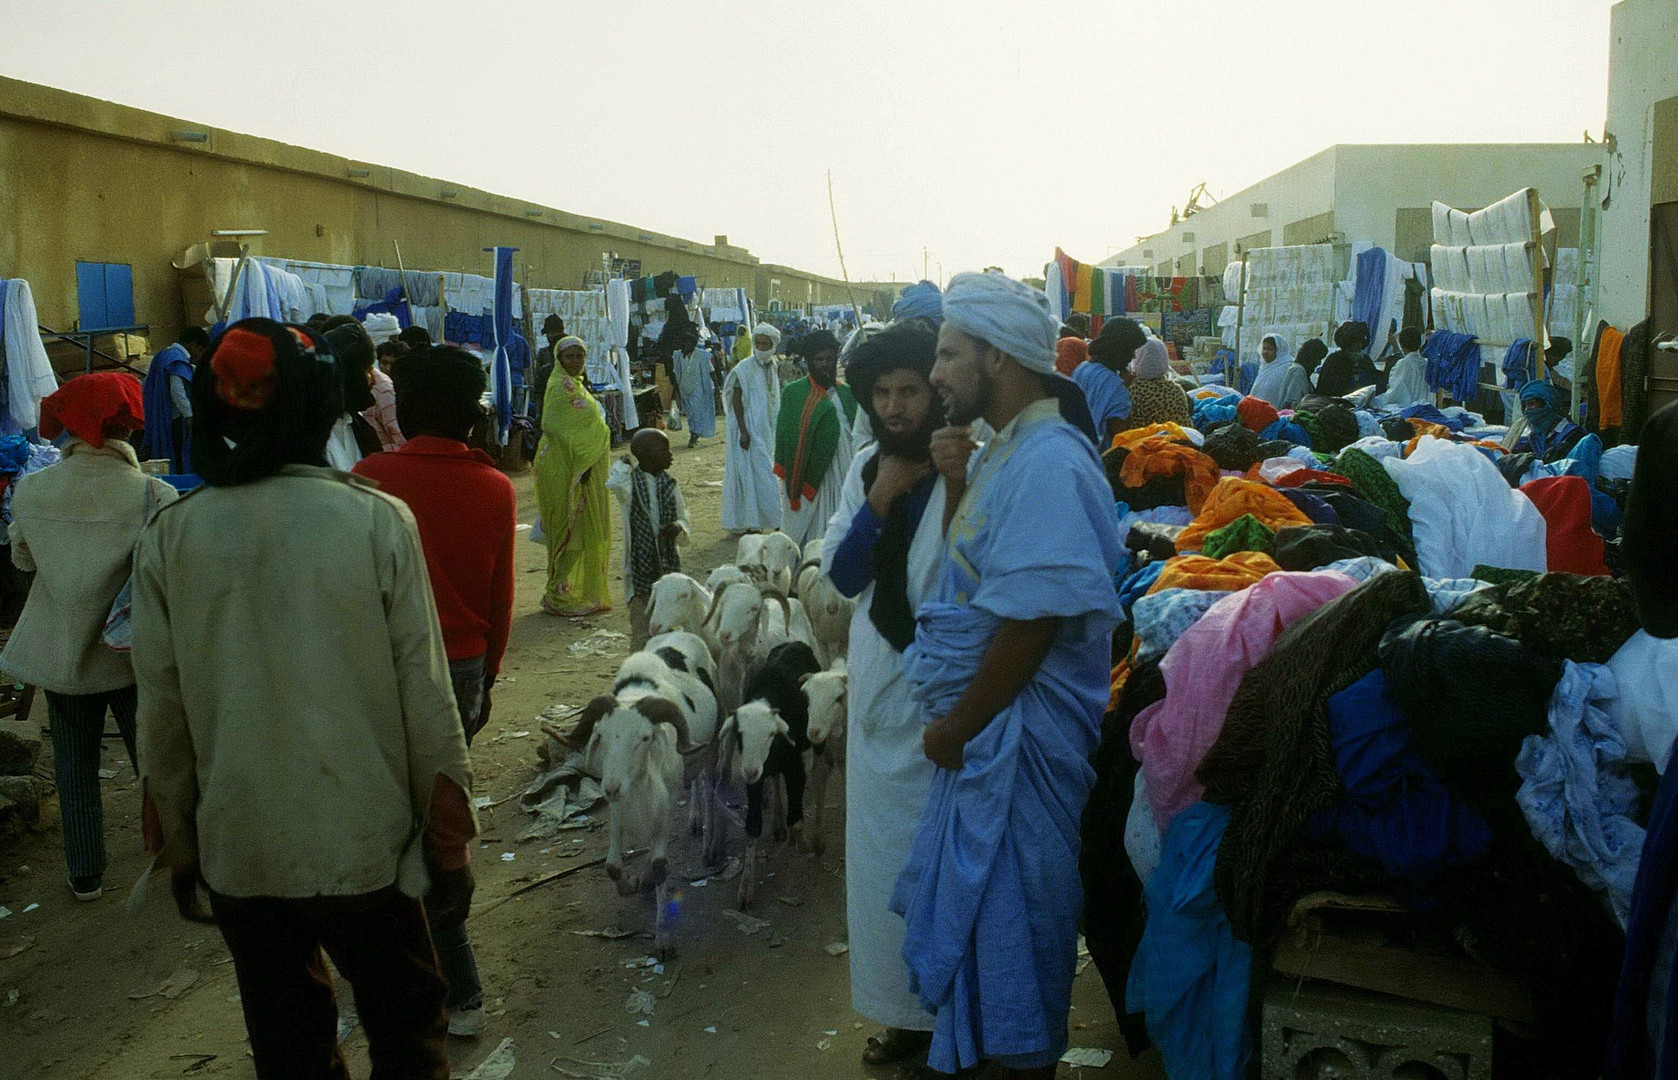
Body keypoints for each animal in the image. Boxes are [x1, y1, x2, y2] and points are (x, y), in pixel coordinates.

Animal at [718, 637, 822, 905]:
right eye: (739, 734)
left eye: (771, 735)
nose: (750, 771)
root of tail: (794, 642)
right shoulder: (754, 779)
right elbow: (753, 825)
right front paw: (746, 888)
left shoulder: (795, 768)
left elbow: (796, 814)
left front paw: (802, 843)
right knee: (774, 781)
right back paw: (776, 822)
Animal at [798, 660, 852, 855]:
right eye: (806, 697)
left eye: (838, 698)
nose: (814, 732)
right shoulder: (826, 753)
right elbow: (820, 780)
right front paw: (817, 840)